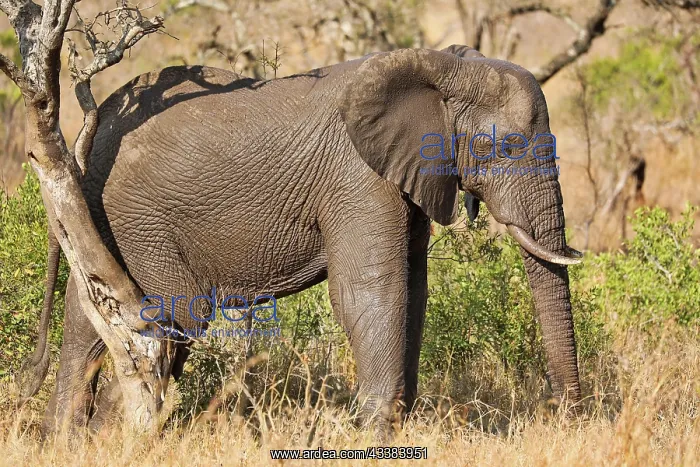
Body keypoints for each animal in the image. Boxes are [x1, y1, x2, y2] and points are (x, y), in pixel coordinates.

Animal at [21, 44, 583, 435]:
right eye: (503, 147)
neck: (439, 66)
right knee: (167, 315)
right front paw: (377, 438)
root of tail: (89, 136)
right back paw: (113, 435)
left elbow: (413, 292)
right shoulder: (356, 176)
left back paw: (75, 440)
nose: (566, 415)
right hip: (134, 220)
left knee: (102, 320)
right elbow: (371, 293)